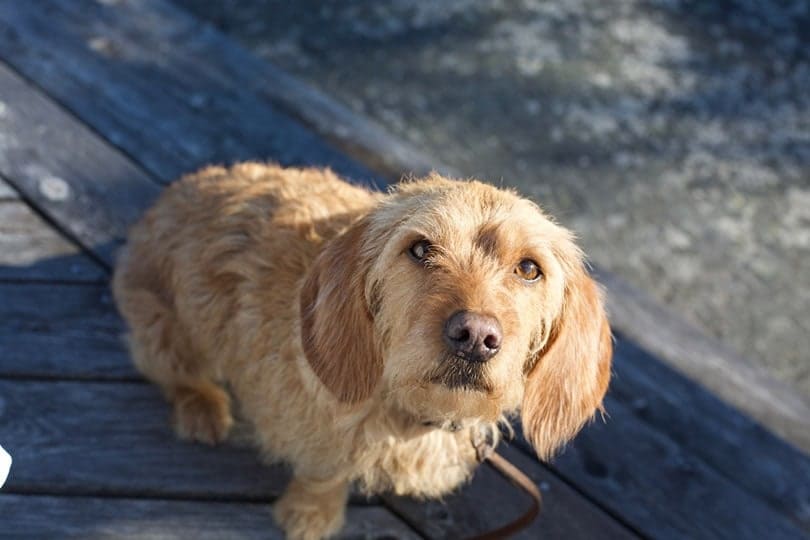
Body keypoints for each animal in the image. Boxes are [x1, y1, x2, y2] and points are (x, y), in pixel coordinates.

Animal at [112, 165, 608, 540]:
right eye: (420, 248)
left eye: (529, 268)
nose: (475, 336)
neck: (407, 410)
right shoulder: (314, 428)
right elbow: (326, 469)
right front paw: (311, 515)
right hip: (160, 328)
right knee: (178, 370)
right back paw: (202, 407)